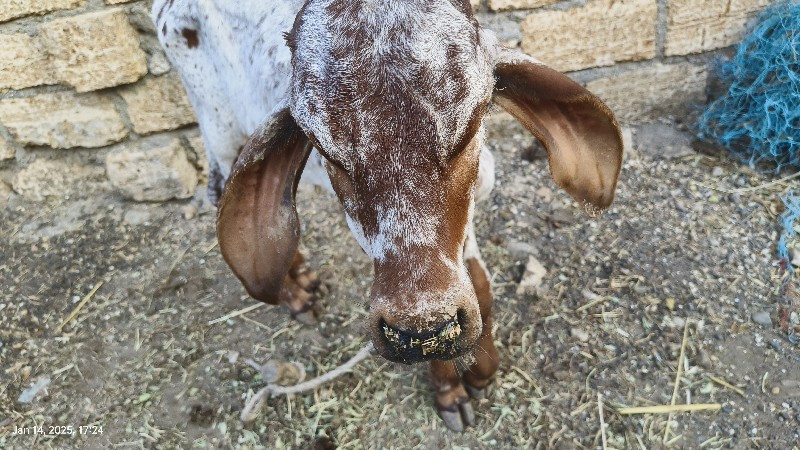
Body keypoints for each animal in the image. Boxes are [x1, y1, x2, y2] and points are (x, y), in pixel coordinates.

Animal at [153, 0, 620, 430]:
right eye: (322, 149)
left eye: (472, 124)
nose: (422, 330)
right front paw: (448, 388)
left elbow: (481, 287)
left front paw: (482, 368)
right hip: (219, 128)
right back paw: (294, 295)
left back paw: (301, 274)